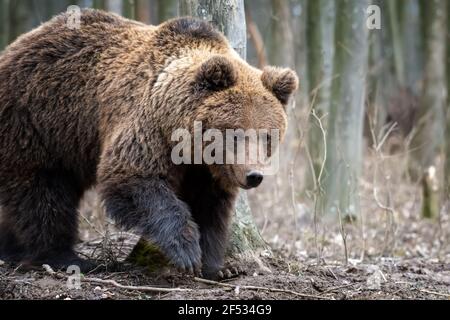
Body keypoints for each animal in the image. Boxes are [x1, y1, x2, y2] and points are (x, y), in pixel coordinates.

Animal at [0, 8, 298, 278]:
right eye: (235, 133)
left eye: (267, 135)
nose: (254, 175)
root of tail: (16, 46)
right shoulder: (147, 125)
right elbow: (133, 178)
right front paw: (186, 250)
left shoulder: (206, 170)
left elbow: (210, 207)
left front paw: (218, 267)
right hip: (39, 123)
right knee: (42, 193)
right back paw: (66, 257)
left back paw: (12, 249)